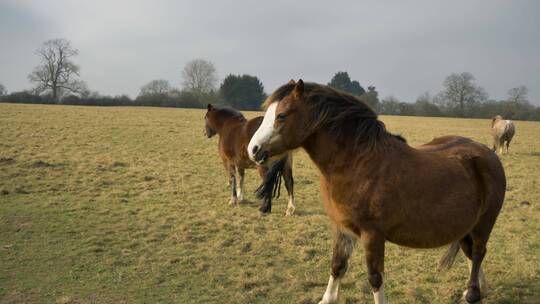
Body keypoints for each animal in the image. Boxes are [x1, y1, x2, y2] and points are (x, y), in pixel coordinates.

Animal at [248, 79, 506, 302]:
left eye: (281, 115)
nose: (253, 149)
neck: (357, 162)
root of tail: (489, 154)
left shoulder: (372, 235)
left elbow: (375, 278)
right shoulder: (342, 228)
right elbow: (337, 266)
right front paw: (327, 298)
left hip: (484, 223)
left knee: (479, 251)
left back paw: (473, 293)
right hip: (465, 226)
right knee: (471, 254)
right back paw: (476, 289)